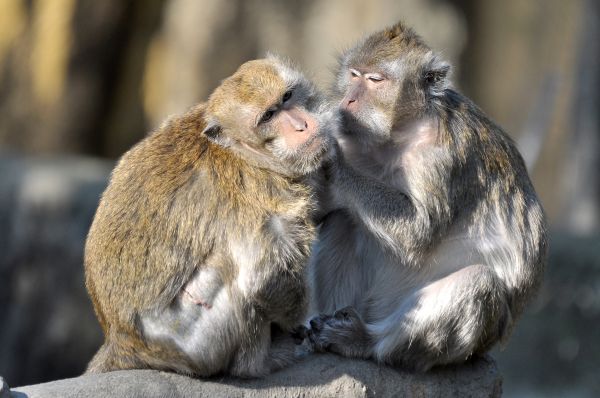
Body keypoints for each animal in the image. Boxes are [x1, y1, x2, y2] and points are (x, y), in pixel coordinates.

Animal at [83, 55, 338, 376]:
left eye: (287, 97)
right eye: (268, 116)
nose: (302, 125)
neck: (245, 152)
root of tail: (119, 339)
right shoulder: (260, 191)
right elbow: (263, 277)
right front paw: (293, 322)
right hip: (192, 339)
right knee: (230, 269)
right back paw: (258, 363)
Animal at [308, 21, 548, 372]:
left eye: (375, 80)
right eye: (353, 75)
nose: (349, 100)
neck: (398, 133)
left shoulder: (439, 157)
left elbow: (418, 232)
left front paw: (329, 157)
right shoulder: (351, 134)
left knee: (478, 284)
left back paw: (364, 342)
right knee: (344, 217)